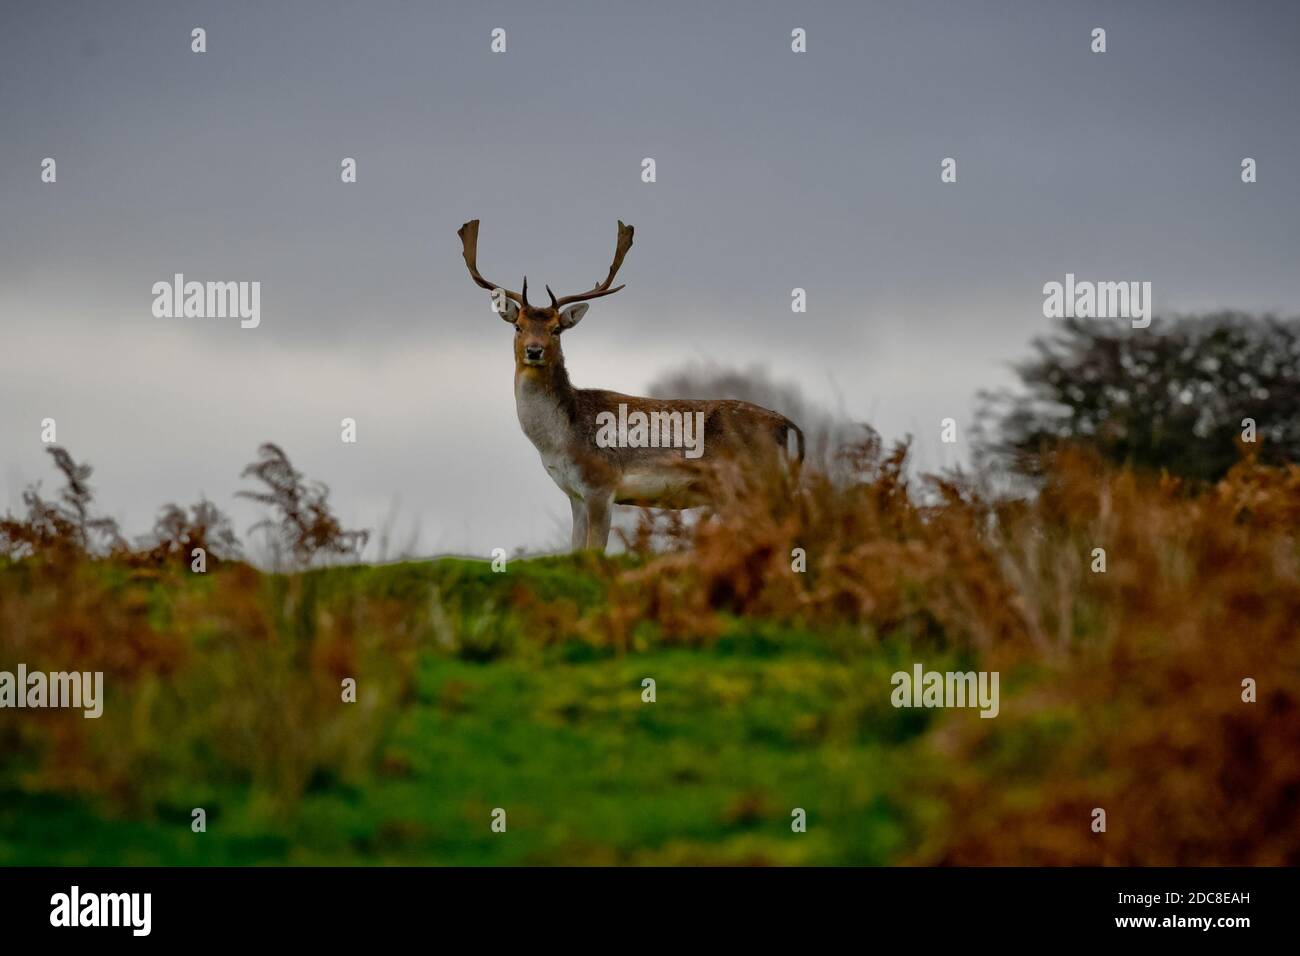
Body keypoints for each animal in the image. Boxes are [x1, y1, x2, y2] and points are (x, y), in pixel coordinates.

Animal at [457, 214, 800, 548]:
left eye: (556, 329)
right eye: (518, 326)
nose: (534, 350)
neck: (558, 443)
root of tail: (787, 425)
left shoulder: (601, 485)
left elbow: (595, 551)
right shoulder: (574, 494)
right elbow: (575, 551)